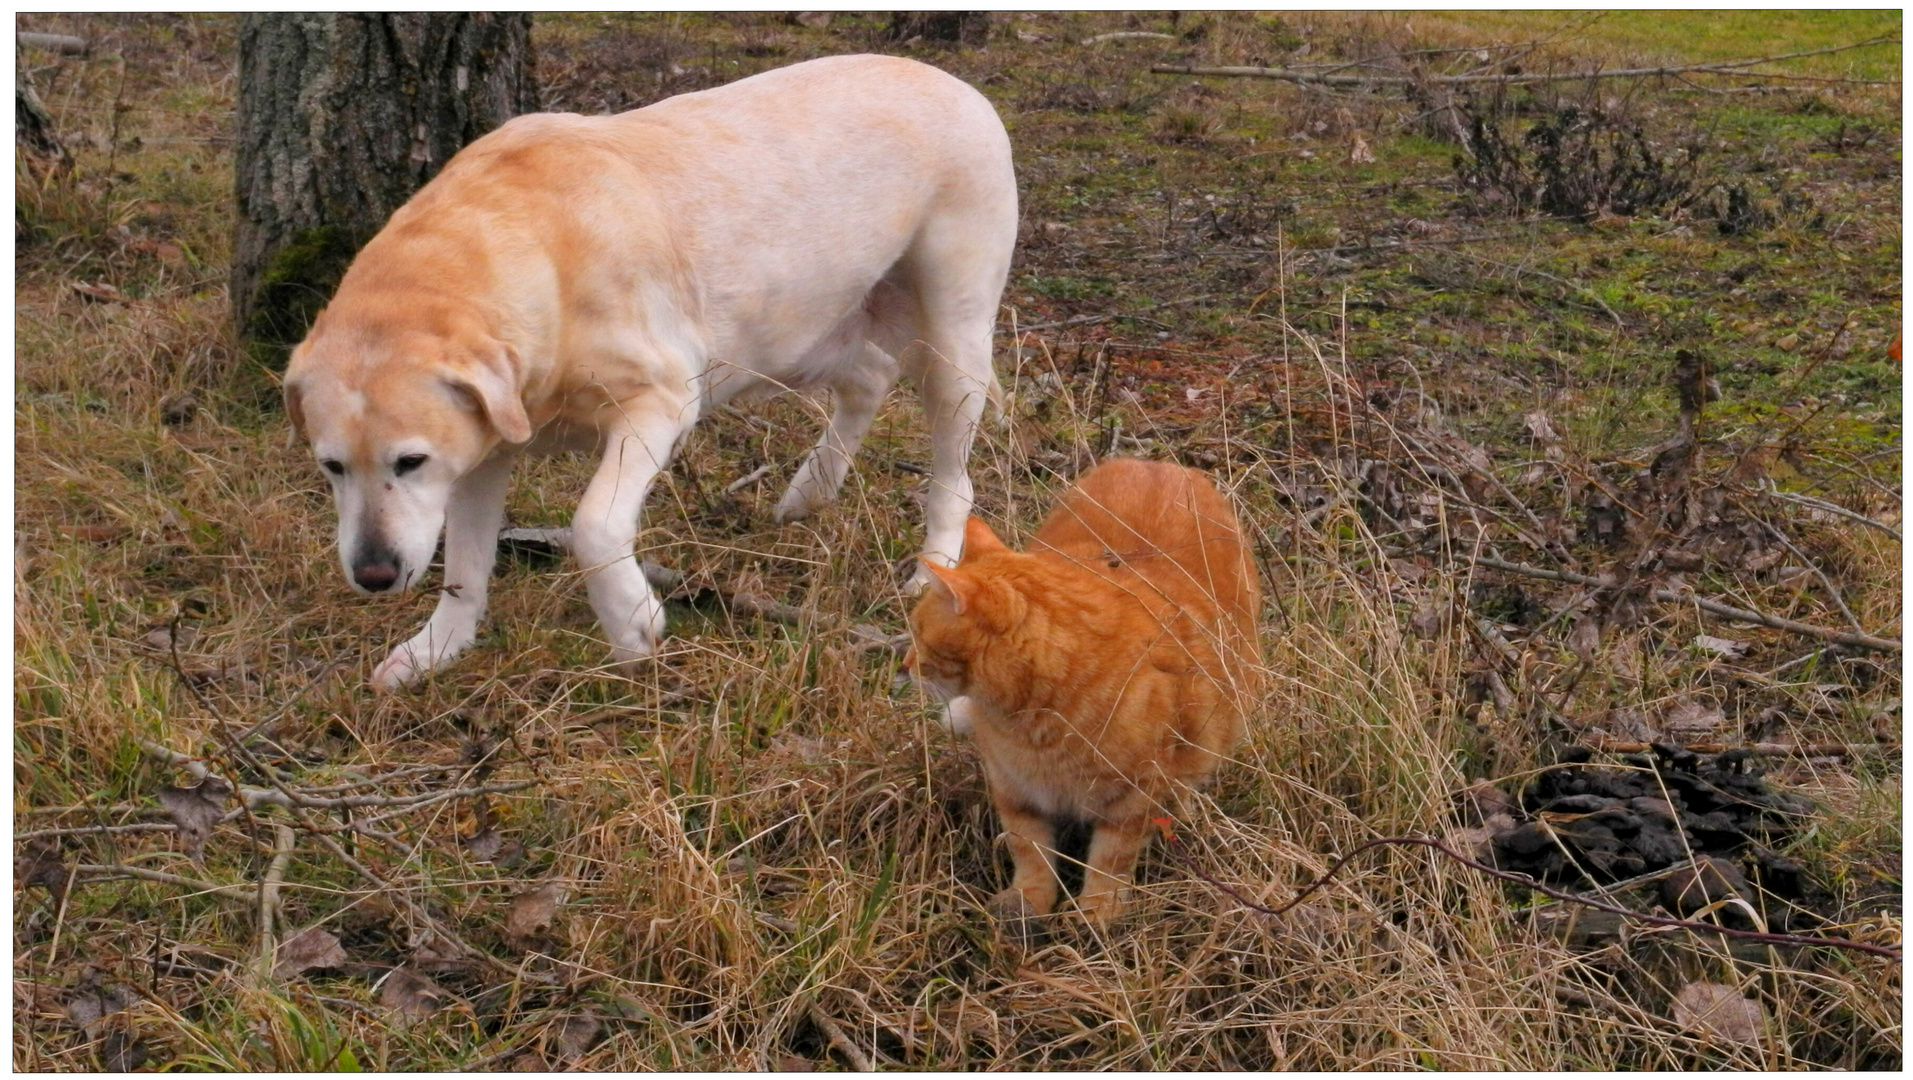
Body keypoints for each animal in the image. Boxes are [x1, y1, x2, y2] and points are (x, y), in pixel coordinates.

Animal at [279, 54, 1017, 688]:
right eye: (331, 467)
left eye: (409, 462)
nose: (373, 575)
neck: (535, 250)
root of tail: (957, 85)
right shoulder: (480, 453)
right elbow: (463, 568)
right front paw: (436, 649)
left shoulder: (657, 404)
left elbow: (594, 525)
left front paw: (633, 626)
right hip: (793, 334)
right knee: (866, 376)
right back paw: (809, 490)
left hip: (952, 340)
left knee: (953, 474)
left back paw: (934, 568)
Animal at [902, 454, 1262, 936]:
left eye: (921, 636)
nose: (904, 665)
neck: (1032, 723)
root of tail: (1156, 463)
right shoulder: (1014, 791)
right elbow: (1029, 851)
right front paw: (1027, 904)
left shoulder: (1133, 799)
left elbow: (1110, 861)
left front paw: (1097, 912)